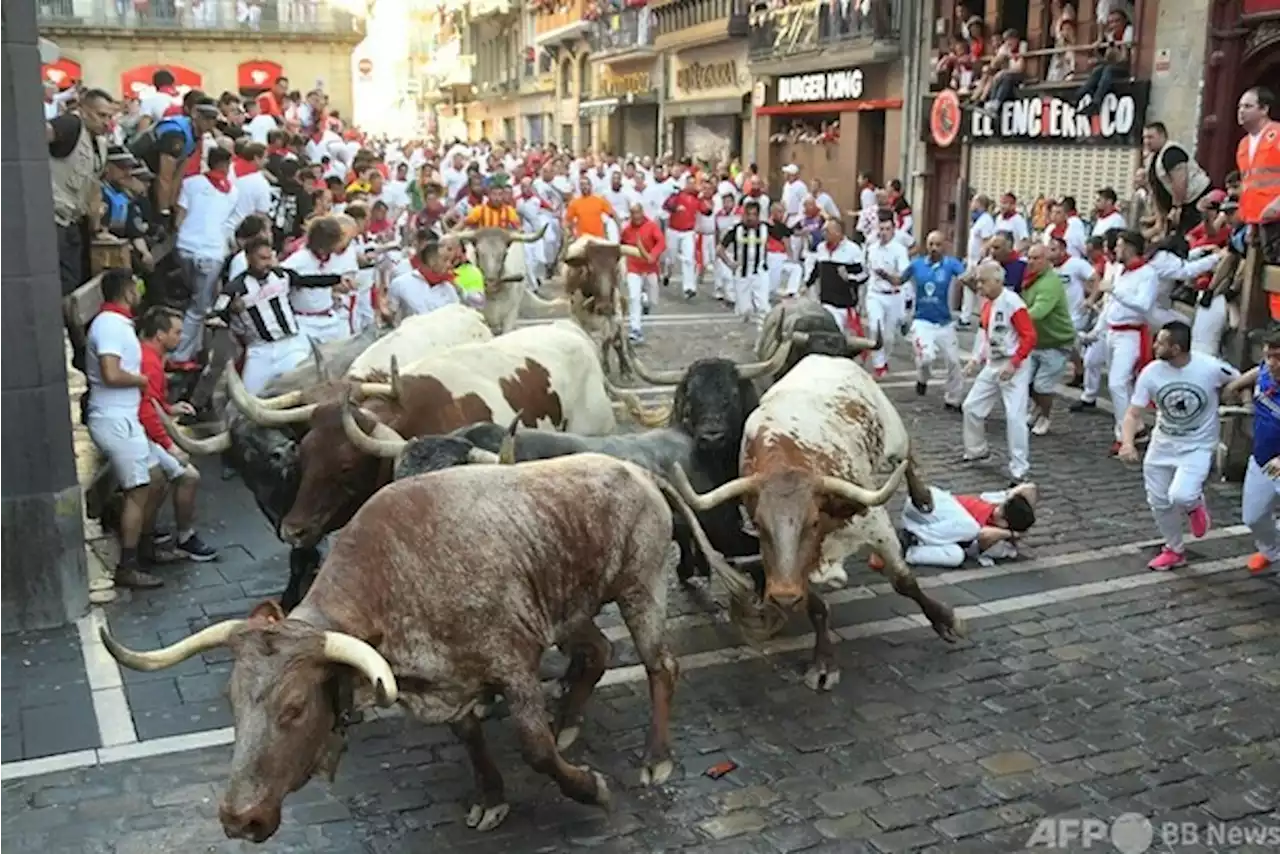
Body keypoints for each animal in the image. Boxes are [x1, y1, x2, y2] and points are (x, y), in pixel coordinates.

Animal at [675, 353, 962, 696]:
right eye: (758, 524)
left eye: (812, 522)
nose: (781, 597)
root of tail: (823, 356)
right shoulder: (791, 567)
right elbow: (816, 607)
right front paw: (824, 663)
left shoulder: (876, 526)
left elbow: (905, 581)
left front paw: (945, 620)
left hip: (894, 433)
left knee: (908, 458)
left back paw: (922, 497)